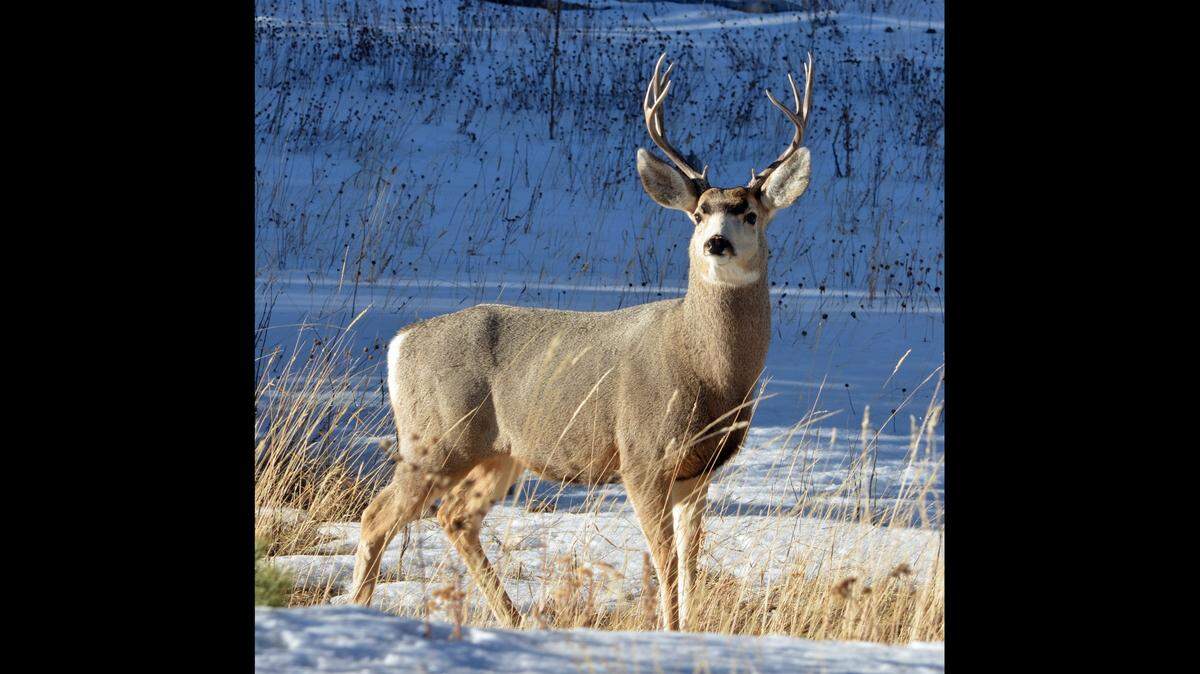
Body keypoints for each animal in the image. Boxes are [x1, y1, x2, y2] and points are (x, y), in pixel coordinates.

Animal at [349, 53, 815, 631]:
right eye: (699, 212)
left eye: (749, 213)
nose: (716, 243)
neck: (707, 372)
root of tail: (400, 342)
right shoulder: (641, 455)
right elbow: (664, 563)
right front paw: (668, 630)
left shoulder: (698, 471)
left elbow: (691, 565)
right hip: (436, 438)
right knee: (376, 515)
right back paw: (358, 610)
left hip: (500, 453)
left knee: (456, 518)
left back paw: (514, 620)